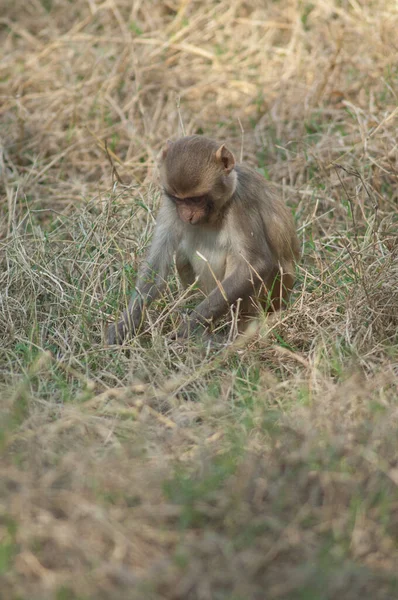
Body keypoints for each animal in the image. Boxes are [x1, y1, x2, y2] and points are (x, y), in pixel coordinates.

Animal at [105, 134, 298, 344]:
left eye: (196, 199)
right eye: (179, 199)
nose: (187, 216)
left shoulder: (242, 203)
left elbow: (255, 265)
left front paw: (189, 327)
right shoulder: (170, 206)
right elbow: (156, 267)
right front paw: (125, 325)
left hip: (274, 295)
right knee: (182, 255)